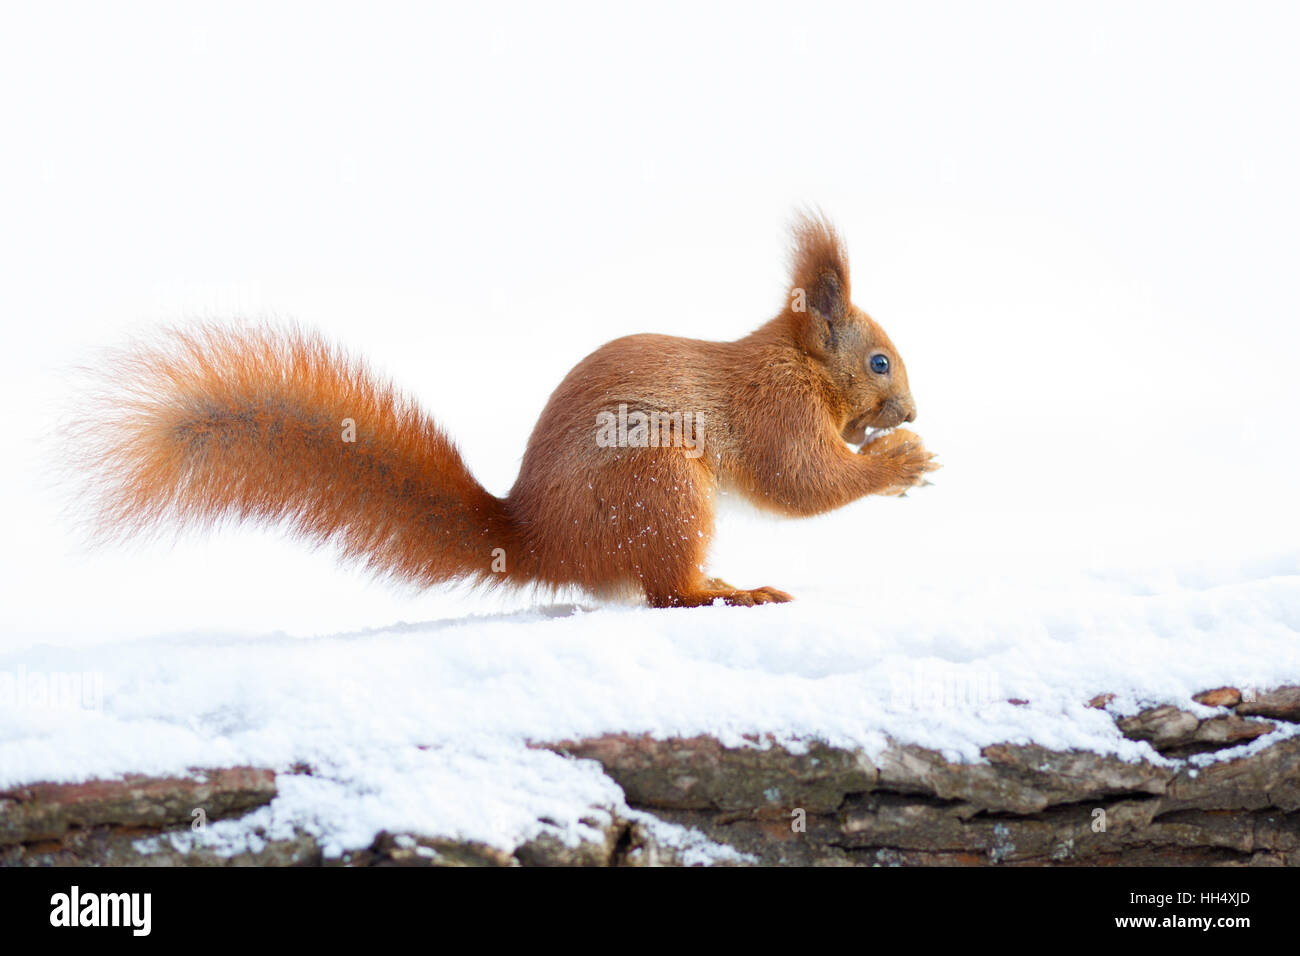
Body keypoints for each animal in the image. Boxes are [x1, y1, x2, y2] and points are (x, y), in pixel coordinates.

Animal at [76, 214, 935, 606]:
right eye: (879, 362)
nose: (909, 412)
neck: (798, 365)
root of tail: (542, 545)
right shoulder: (776, 412)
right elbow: (801, 482)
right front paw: (896, 465)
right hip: (658, 487)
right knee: (665, 593)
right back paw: (727, 591)